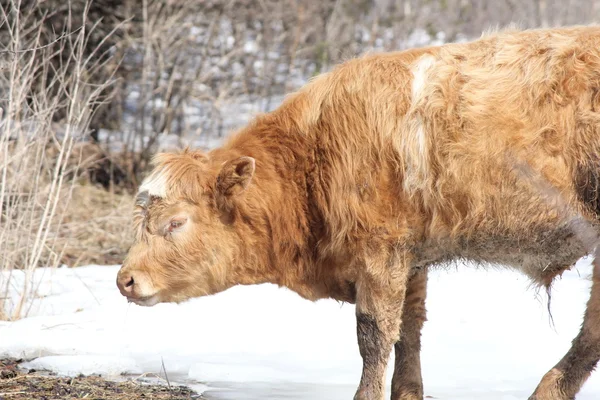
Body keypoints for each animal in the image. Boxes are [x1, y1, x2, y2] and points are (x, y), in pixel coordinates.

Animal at [117, 25, 600, 400]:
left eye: (175, 223)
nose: (125, 279)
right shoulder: (411, 256)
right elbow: (409, 330)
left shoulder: (379, 251)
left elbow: (374, 336)